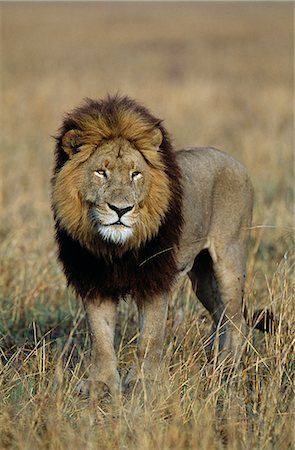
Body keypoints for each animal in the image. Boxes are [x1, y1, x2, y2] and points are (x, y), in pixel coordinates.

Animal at [51, 94, 270, 398]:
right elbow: (100, 336)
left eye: (136, 174)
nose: (121, 209)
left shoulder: (155, 278)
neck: (116, 248)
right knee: (220, 313)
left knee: (235, 318)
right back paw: (213, 360)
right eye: (101, 172)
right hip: (202, 276)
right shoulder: (95, 281)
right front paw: (101, 384)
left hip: (230, 257)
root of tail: (232, 159)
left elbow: (151, 337)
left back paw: (228, 368)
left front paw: (143, 383)